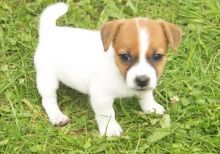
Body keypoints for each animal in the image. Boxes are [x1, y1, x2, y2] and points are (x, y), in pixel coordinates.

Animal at [34, 2, 182, 137]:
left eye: (158, 56)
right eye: (124, 56)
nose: (142, 80)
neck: (119, 72)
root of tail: (49, 32)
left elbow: (146, 95)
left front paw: (151, 107)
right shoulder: (101, 96)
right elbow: (107, 113)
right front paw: (110, 129)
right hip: (47, 78)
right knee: (48, 99)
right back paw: (57, 116)